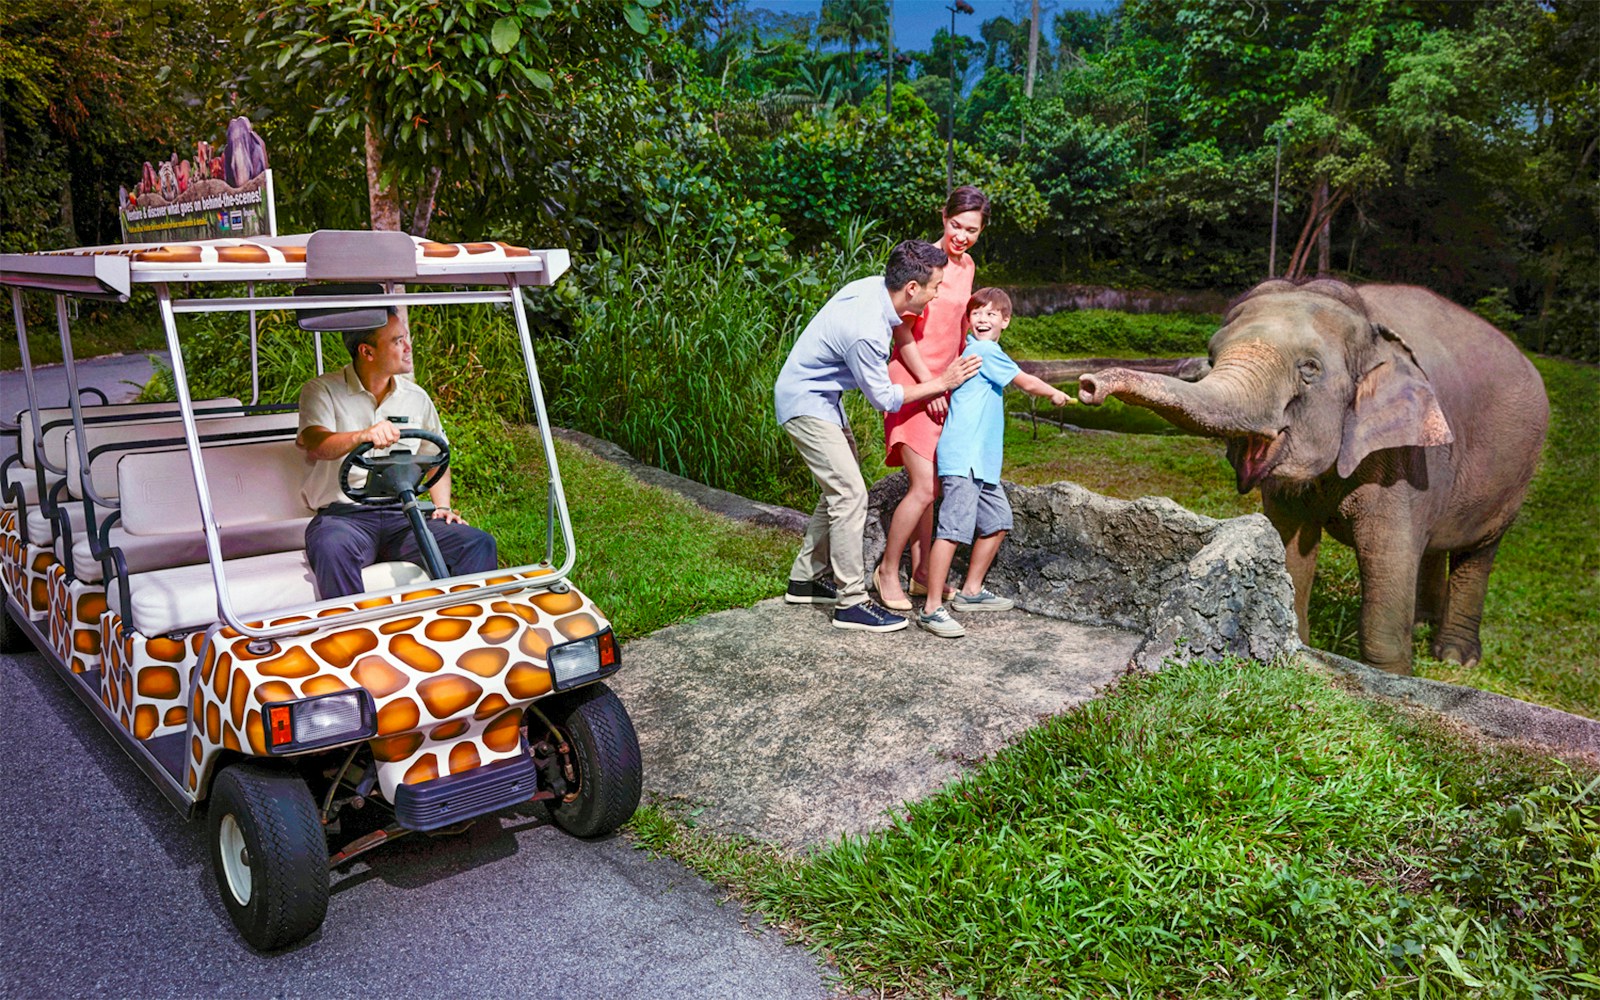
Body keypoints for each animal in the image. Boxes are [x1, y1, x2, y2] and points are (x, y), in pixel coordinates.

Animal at [1081, 276, 1542, 675]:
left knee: (1477, 552)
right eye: (1211, 358)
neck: (1368, 321)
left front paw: (1393, 676)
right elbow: (1287, 544)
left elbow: (1389, 557)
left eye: (1309, 368)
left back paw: (1455, 658)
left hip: (1515, 477)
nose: (1088, 385)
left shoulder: (1405, 458)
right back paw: (1423, 623)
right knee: (1433, 544)